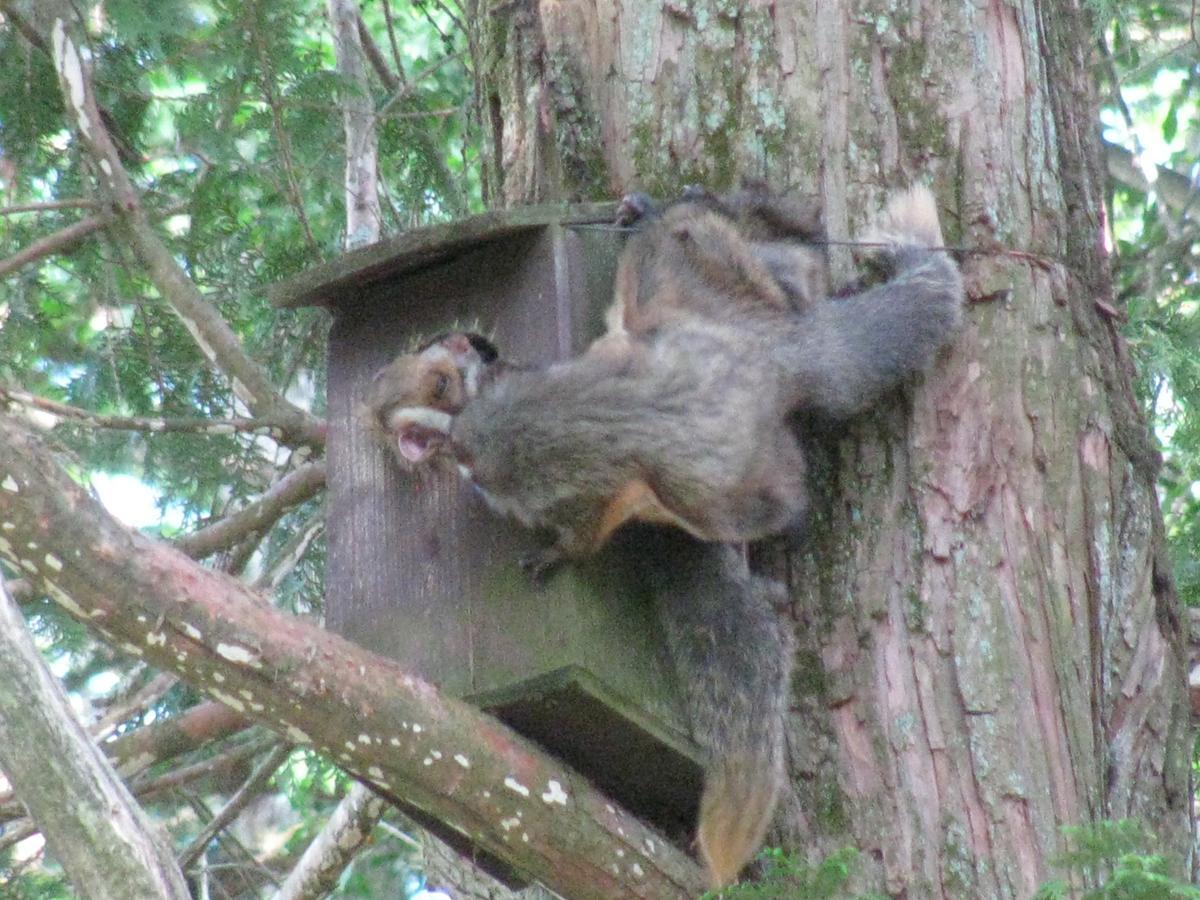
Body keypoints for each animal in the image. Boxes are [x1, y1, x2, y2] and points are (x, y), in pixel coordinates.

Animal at [364, 183, 964, 888]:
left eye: (439, 377)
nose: (375, 404)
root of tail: (782, 353)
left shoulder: (559, 472)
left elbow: (578, 528)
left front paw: (554, 553)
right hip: (692, 288)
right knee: (770, 264)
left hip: (713, 476)